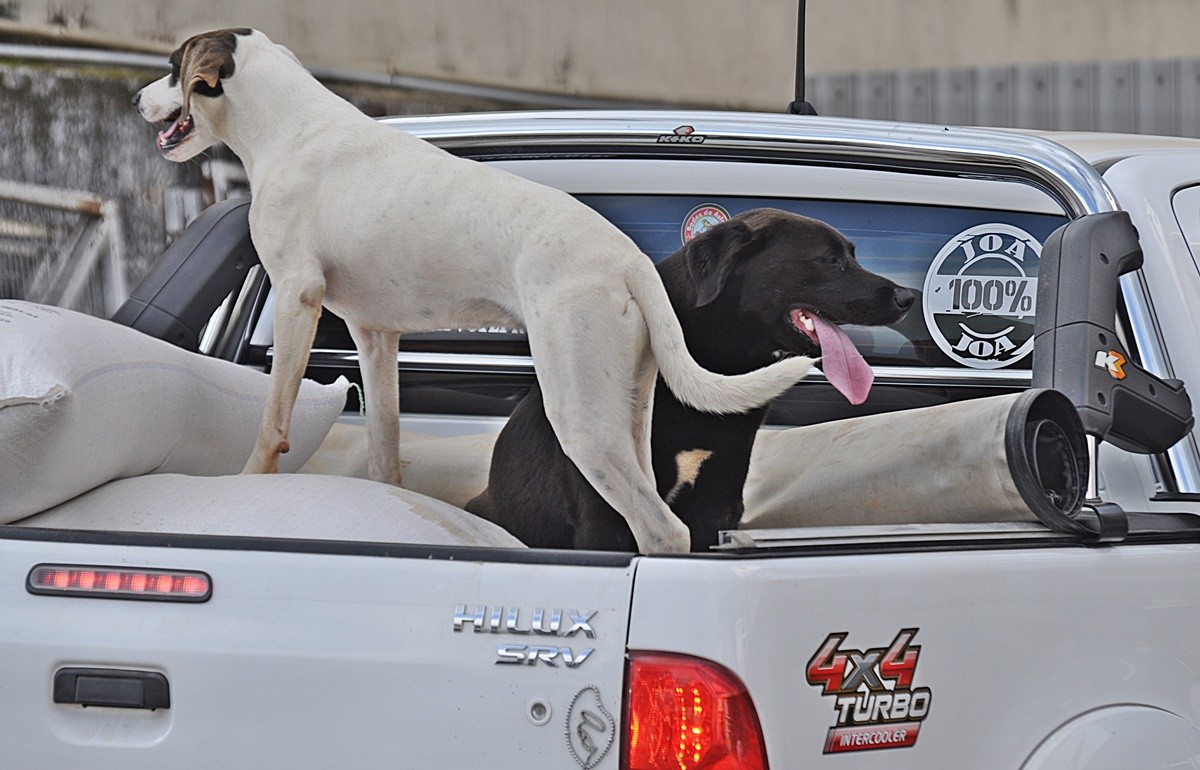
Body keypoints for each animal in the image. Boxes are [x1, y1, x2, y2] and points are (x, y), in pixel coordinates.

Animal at [138, 26, 816, 549]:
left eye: (173, 68)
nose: (139, 98)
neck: (291, 127)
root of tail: (629, 260)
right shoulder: (374, 334)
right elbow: (385, 448)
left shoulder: (296, 296)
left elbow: (271, 421)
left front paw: (249, 480)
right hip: (627, 408)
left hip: (579, 414)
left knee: (662, 530)